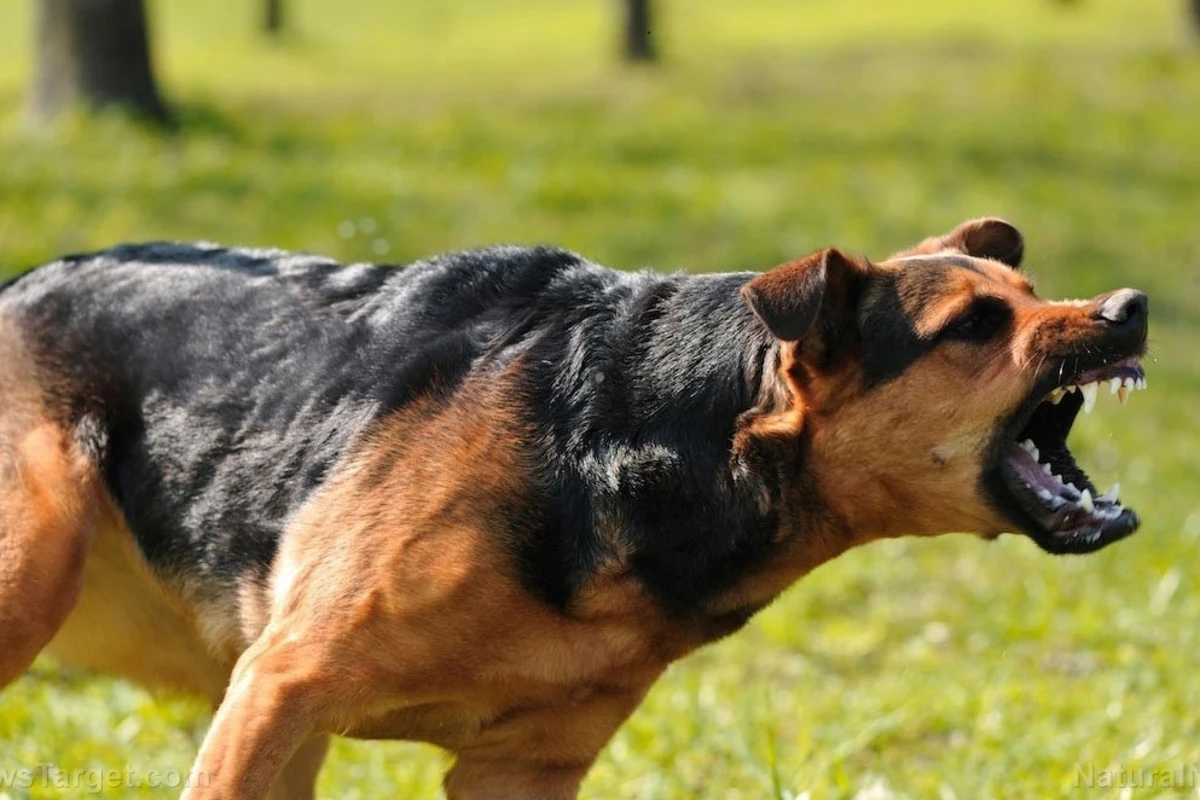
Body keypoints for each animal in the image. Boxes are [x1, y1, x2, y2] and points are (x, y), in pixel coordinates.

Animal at [0, 215, 1147, 796]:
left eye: (1030, 290)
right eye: (975, 325)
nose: (1130, 306)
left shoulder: (523, 771)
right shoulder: (281, 689)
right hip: (38, 573)